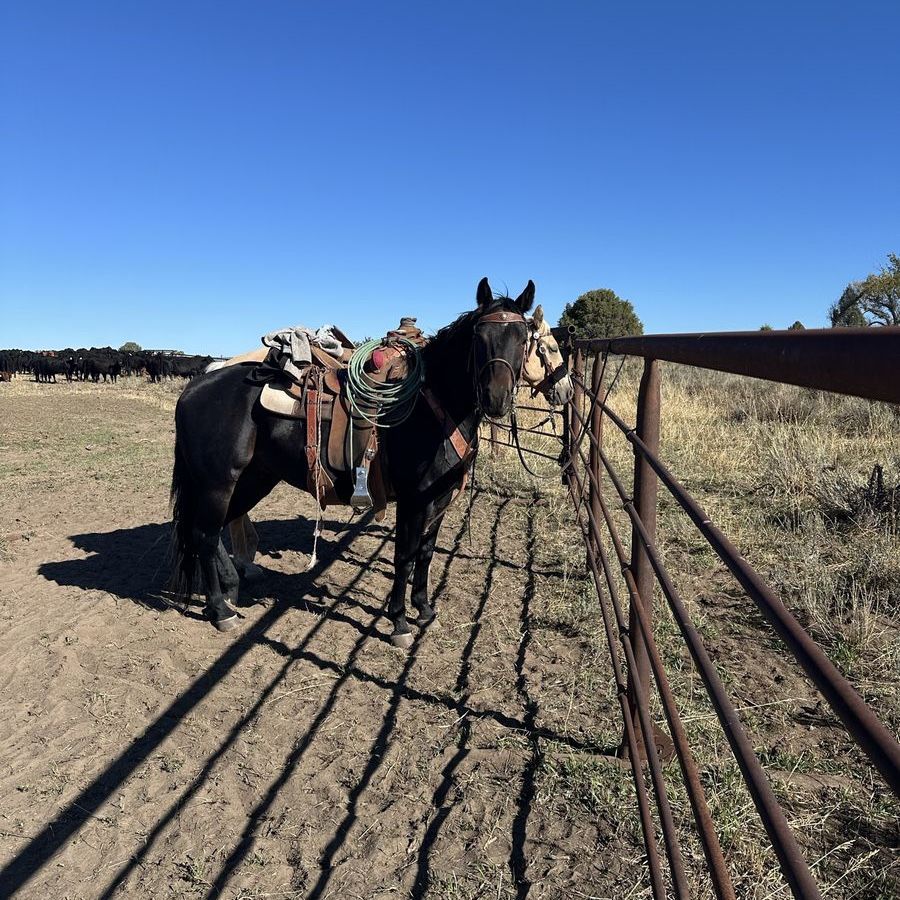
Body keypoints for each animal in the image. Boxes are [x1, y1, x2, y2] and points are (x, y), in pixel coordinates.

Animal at [168, 278, 538, 646]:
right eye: (479, 337)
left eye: (524, 337)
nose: (496, 399)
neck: (432, 408)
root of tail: (195, 387)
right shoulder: (413, 501)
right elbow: (404, 556)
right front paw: (400, 623)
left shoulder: (439, 500)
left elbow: (426, 553)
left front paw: (424, 609)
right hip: (219, 483)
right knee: (204, 534)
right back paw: (220, 611)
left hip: (253, 479)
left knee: (216, 529)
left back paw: (231, 589)